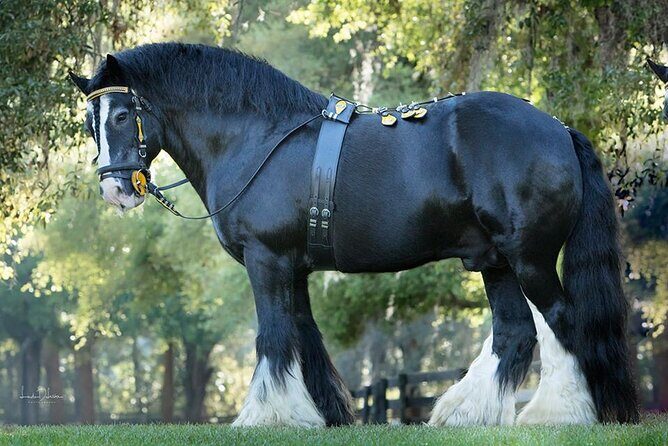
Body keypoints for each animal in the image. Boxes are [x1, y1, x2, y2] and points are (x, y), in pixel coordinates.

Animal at [69, 42, 639, 426]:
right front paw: (321, 415)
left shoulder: (266, 259)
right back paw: (464, 413)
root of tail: (557, 128)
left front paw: (264, 418)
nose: (115, 190)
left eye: (122, 114)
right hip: (493, 260)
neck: (257, 138)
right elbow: (303, 339)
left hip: (529, 257)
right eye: (89, 122)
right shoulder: (292, 267)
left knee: (560, 320)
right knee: (515, 331)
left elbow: (272, 336)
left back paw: (556, 414)